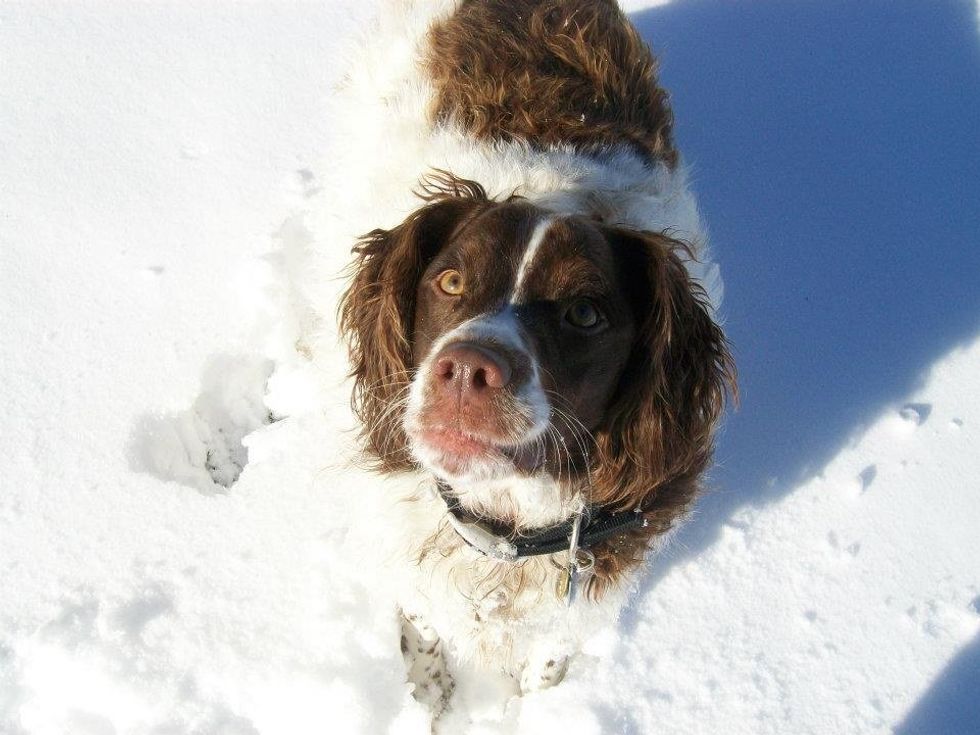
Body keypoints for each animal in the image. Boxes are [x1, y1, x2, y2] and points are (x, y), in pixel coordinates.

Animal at [332, 0, 736, 712]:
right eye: (451, 281)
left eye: (585, 314)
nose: (468, 368)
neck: (505, 528)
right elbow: (423, 622)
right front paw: (430, 693)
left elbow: (551, 655)